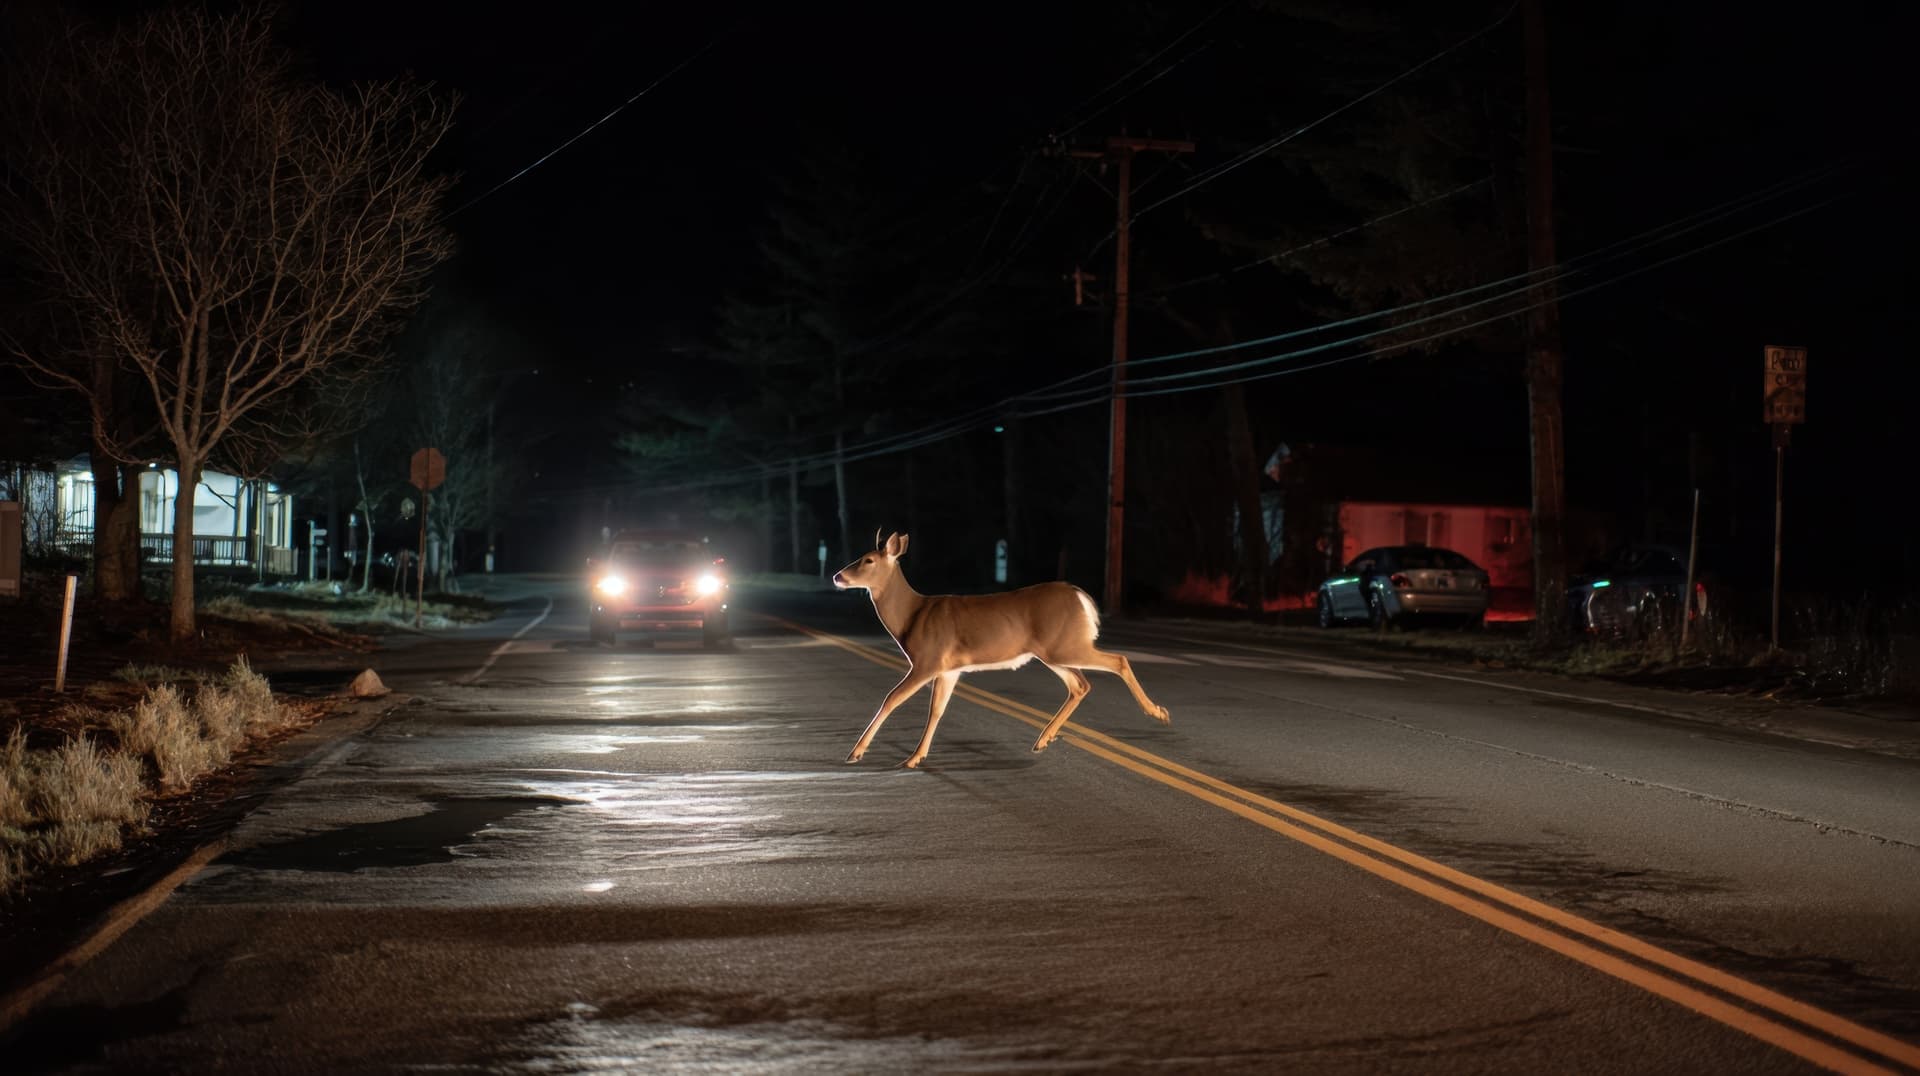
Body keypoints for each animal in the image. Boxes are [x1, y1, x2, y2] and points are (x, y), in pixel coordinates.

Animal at [832, 531, 1171, 769]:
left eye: (868, 560)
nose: (837, 576)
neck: (911, 615)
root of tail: (1081, 597)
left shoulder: (927, 660)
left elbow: (892, 699)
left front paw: (857, 751)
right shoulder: (949, 669)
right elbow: (937, 710)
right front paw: (917, 756)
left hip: (1064, 646)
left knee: (1118, 660)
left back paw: (1157, 712)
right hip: (1054, 650)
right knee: (1080, 684)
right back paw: (1043, 739)